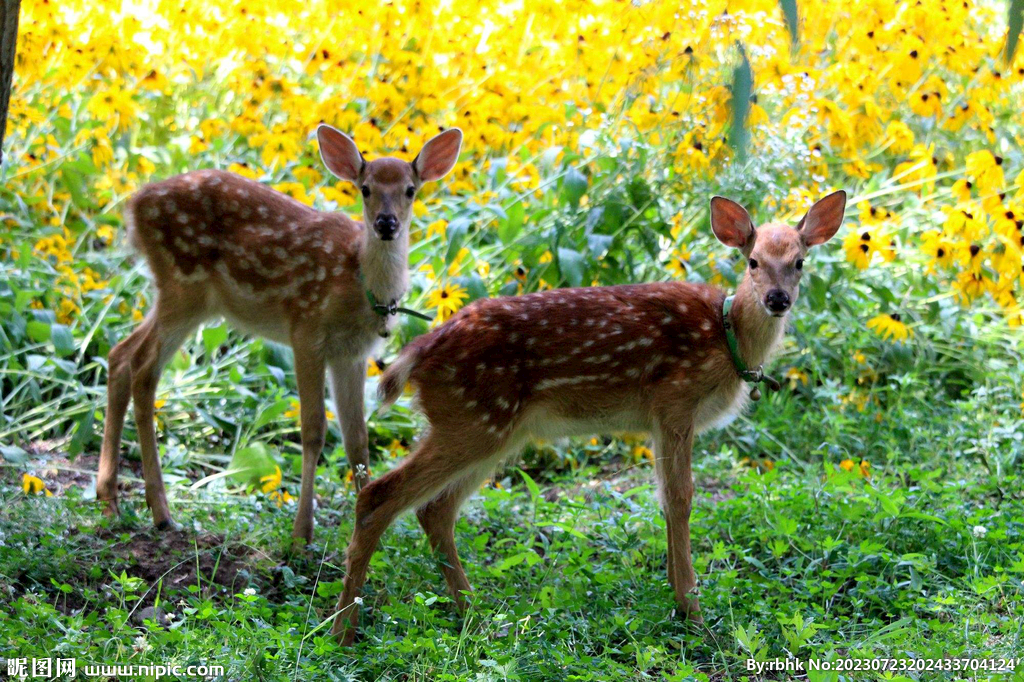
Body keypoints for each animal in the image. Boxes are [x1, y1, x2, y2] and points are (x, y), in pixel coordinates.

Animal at [96, 124, 464, 544]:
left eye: (410, 189)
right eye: (366, 188)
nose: (386, 224)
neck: (359, 285)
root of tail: (134, 204)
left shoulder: (351, 353)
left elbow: (357, 440)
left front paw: (367, 530)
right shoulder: (306, 329)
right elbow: (314, 430)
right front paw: (302, 533)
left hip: (188, 299)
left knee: (121, 354)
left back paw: (110, 499)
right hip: (182, 285)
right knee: (144, 368)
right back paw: (161, 513)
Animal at [329, 188, 847, 638]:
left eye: (799, 262)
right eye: (753, 261)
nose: (777, 299)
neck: (728, 338)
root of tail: (417, 353)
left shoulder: (658, 421)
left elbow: (665, 500)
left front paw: (678, 600)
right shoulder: (675, 400)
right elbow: (681, 498)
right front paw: (693, 611)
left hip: (491, 428)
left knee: (434, 509)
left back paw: (475, 615)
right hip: (474, 418)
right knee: (378, 494)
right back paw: (343, 631)